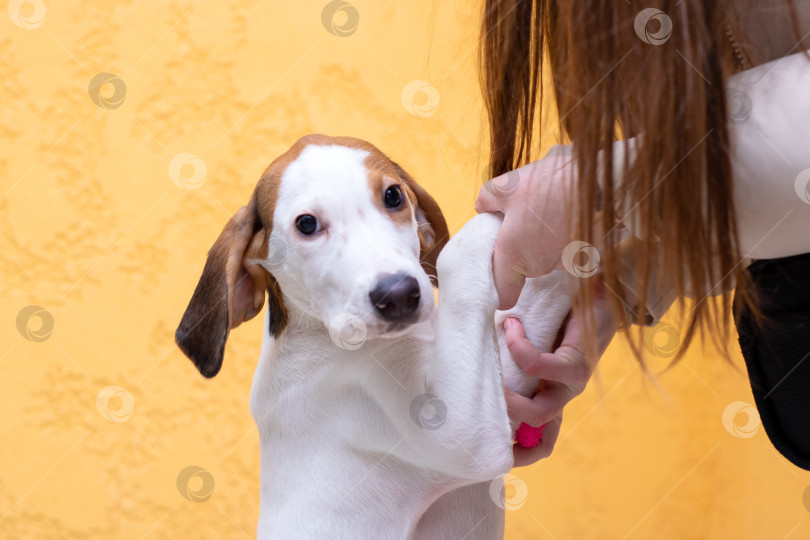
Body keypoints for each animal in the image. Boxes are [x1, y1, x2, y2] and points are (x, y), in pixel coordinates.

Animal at [175, 134, 568, 536]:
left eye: (393, 195)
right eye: (306, 224)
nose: (398, 295)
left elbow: (530, 300)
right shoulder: (462, 431)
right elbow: (462, 254)